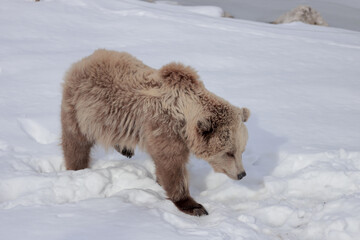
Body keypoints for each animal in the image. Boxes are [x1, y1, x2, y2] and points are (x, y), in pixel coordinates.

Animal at [60, 49, 249, 217]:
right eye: (229, 152)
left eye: (241, 150)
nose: (242, 174)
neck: (183, 117)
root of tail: (83, 60)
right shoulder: (164, 129)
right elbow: (171, 165)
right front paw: (194, 206)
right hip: (82, 109)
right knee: (76, 143)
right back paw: (77, 168)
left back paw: (125, 149)